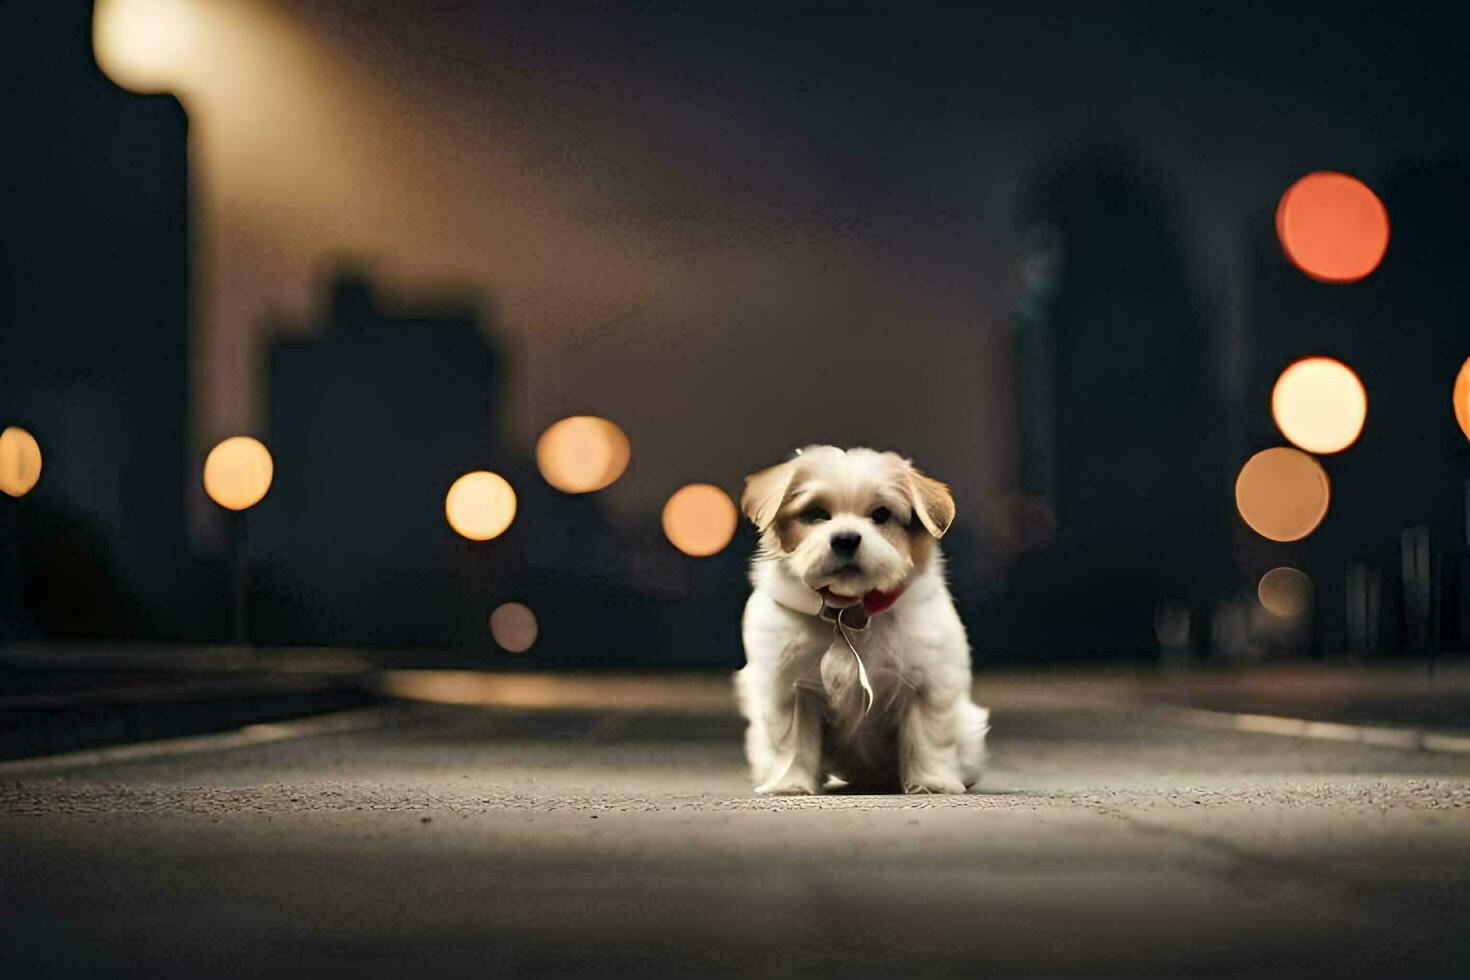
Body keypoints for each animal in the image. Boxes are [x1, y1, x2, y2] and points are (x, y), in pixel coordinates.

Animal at [735, 449, 987, 793]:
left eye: (881, 515)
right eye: (815, 514)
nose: (845, 538)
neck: (848, 612)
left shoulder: (928, 683)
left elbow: (927, 736)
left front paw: (931, 782)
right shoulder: (789, 688)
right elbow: (792, 740)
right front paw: (791, 783)